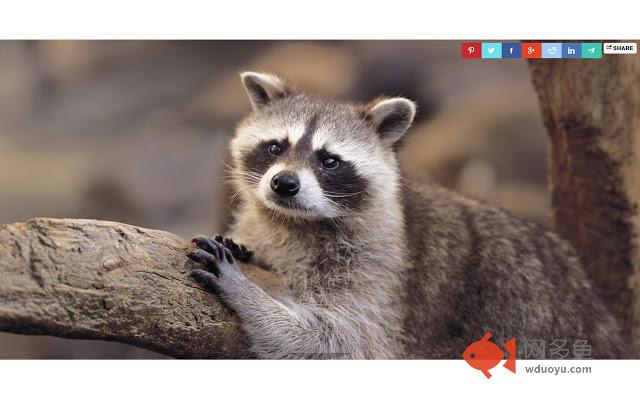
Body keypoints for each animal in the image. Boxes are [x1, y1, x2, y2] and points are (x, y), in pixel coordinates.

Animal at [188, 71, 629, 359]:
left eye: (329, 160)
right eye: (276, 146)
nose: (283, 184)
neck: (295, 221)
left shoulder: (381, 268)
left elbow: (341, 341)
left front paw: (247, 295)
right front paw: (243, 251)